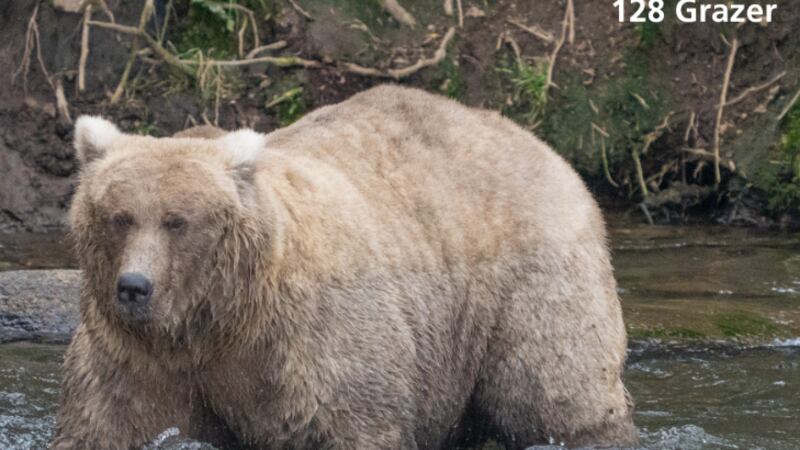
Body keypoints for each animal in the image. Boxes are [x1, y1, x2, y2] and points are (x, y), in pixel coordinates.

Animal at [53, 85, 637, 450]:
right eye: (118, 217)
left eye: (178, 220)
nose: (135, 287)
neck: (217, 320)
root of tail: (537, 143)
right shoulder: (137, 357)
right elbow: (107, 424)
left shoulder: (310, 341)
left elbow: (349, 417)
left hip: (526, 284)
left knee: (555, 392)